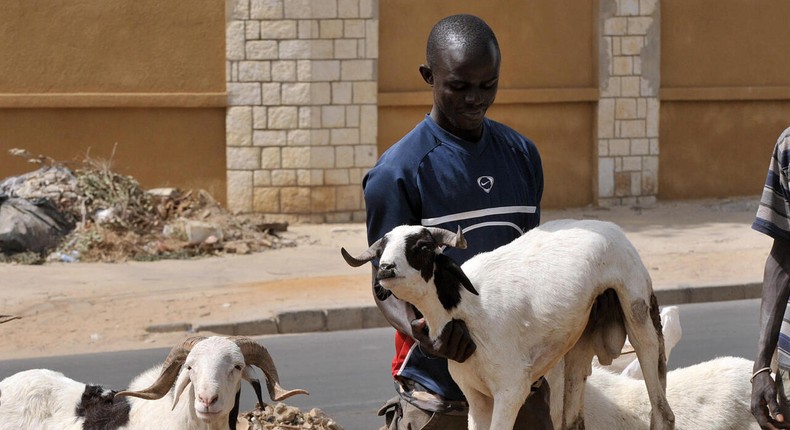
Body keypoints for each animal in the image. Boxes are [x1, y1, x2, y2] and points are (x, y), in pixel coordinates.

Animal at [344, 220, 676, 430]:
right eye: (381, 250)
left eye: (423, 246)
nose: (386, 269)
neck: (467, 307)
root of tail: (613, 229)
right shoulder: (475, 396)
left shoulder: (511, 389)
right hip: (580, 341)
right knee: (574, 420)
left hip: (639, 313)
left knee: (662, 412)